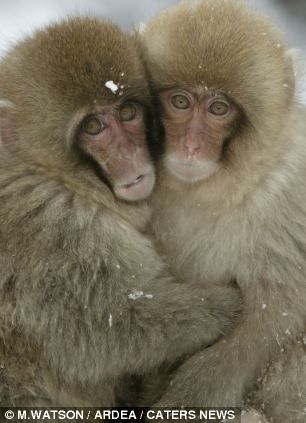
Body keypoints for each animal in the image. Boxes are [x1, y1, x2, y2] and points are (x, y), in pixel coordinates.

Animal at [0, 17, 241, 408]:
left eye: (127, 112)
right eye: (93, 127)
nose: (130, 154)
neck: (46, 173)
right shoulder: (54, 225)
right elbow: (107, 329)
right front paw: (227, 305)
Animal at [141, 0, 306, 422]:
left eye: (218, 108)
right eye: (180, 102)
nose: (191, 146)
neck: (208, 193)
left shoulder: (285, 197)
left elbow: (273, 319)